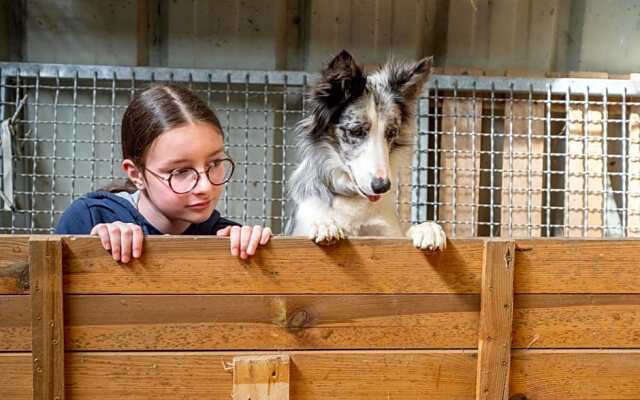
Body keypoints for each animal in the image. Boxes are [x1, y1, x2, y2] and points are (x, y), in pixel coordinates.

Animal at [288, 50, 444, 250]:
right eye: (356, 131)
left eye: (391, 132)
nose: (382, 187)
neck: (352, 200)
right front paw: (324, 224)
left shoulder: (388, 234)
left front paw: (427, 229)